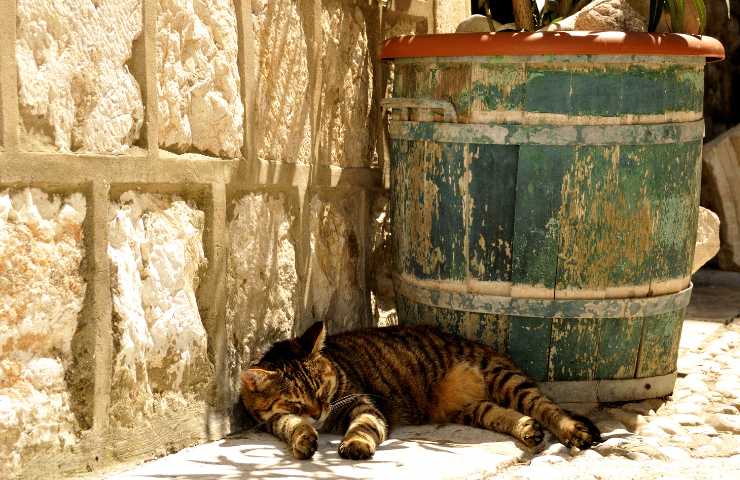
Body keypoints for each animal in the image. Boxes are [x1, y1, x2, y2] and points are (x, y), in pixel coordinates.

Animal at [240, 320, 600, 460]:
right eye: (297, 402)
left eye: (322, 390)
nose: (319, 413)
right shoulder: (270, 421)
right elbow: (291, 426)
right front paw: (304, 438)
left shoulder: (363, 403)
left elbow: (364, 426)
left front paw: (355, 444)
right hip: (474, 409)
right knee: (506, 415)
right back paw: (528, 430)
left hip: (506, 380)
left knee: (547, 407)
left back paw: (574, 431)